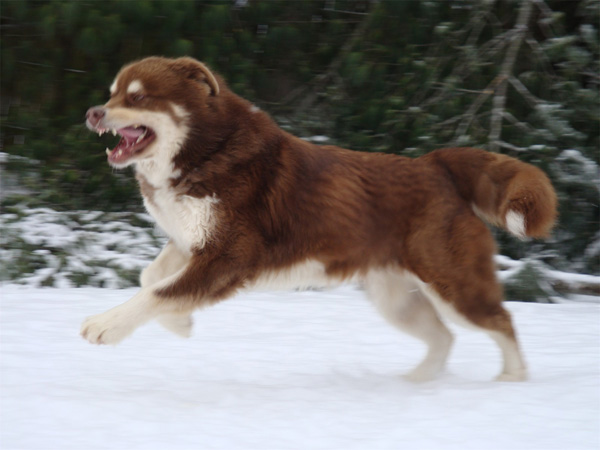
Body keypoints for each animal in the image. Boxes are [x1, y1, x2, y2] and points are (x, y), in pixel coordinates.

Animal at [82, 54, 556, 382]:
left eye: (138, 96)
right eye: (112, 93)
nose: (93, 112)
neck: (207, 151)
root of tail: (436, 164)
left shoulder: (229, 256)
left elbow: (157, 291)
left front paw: (105, 325)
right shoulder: (190, 243)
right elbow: (151, 279)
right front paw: (180, 324)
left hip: (452, 284)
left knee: (501, 321)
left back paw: (512, 378)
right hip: (396, 298)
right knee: (445, 336)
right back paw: (418, 382)